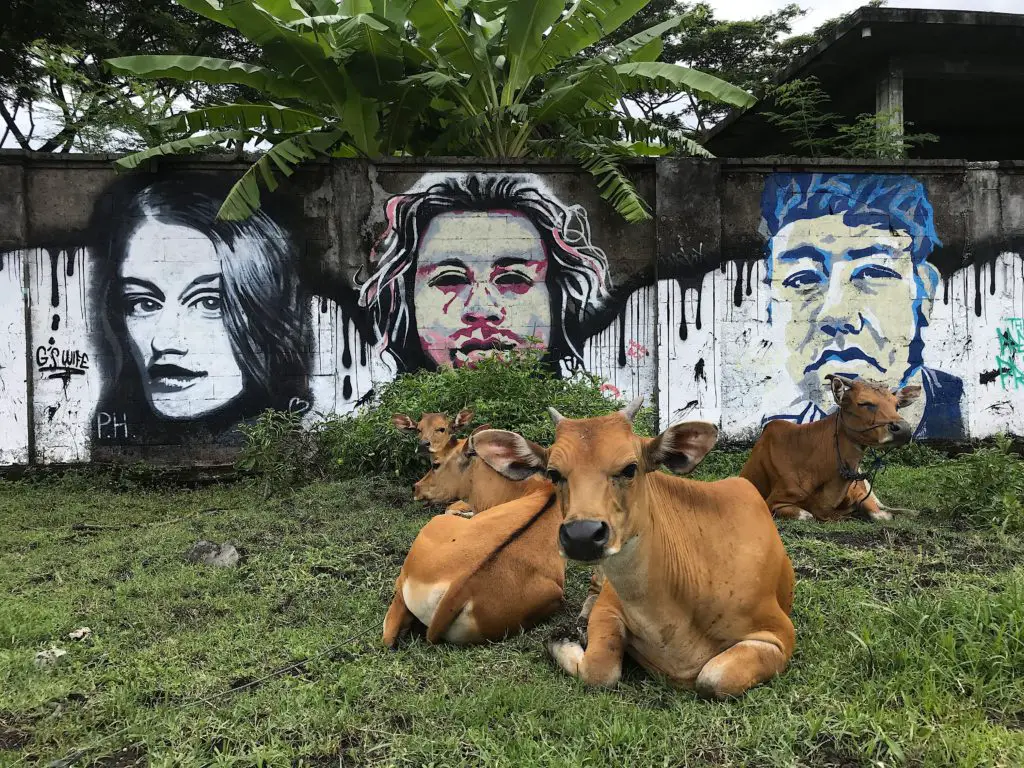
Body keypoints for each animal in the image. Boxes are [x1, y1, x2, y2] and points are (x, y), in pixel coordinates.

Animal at [471, 399, 798, 700]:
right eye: (553, 473)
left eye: (630, 468)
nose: (582, 535)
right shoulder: (609, 607)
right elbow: (599, 671)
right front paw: (562, 640)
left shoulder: (778, 636)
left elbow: (713, 677)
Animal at [737, 376, 921, 528]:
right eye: (864, 403)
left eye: (897, 405)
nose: (904, 430)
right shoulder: (774, 501)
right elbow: (808, 515)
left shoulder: (860, 492)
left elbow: (880, 515)